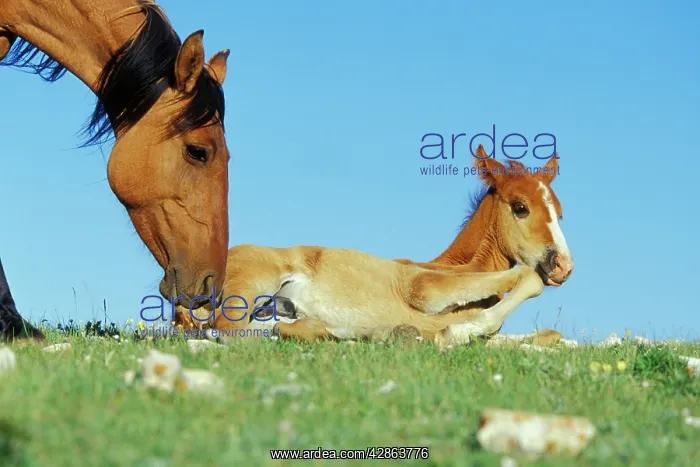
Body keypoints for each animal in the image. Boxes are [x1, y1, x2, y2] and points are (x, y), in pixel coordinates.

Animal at [177, 148, 573, 348]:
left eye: (559, 212)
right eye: (520, 207)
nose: (564, 267)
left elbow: (548, 335)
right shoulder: (422, 290)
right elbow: (526, 278)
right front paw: (450, 333)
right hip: (252, 284)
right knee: (231, 329)